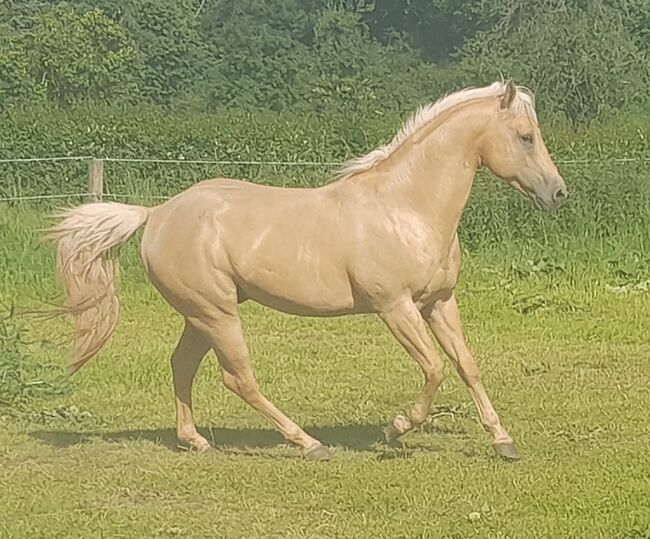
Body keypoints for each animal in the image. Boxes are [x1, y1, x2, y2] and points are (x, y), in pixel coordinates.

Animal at [46, 80, 560, 460]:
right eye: (526, 136)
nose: (558, 193)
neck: (405, 207)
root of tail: (155, 214)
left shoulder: (438, 303)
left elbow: (467, 365)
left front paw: (503, 441)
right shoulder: (395, 307)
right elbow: (434, 370)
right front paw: (393, 431)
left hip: (201, 315)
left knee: (182, 365)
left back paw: (195, 441)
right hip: (217, 314)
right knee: (239, 379)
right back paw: (309, 444)